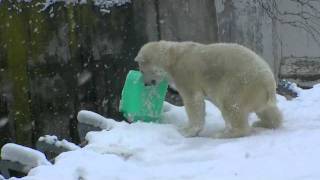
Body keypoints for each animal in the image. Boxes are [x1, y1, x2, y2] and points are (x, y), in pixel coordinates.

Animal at [135, 40, 282, 138]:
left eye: (142, 70)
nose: (145, 83)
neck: (172, 58)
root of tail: (269, 82)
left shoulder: (185, 74)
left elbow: (193, 101)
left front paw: (187, 131)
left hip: (240, 84)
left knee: (231, 105)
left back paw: (224, 133)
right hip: (259, 93)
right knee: (266, 110)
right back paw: (264, 123)